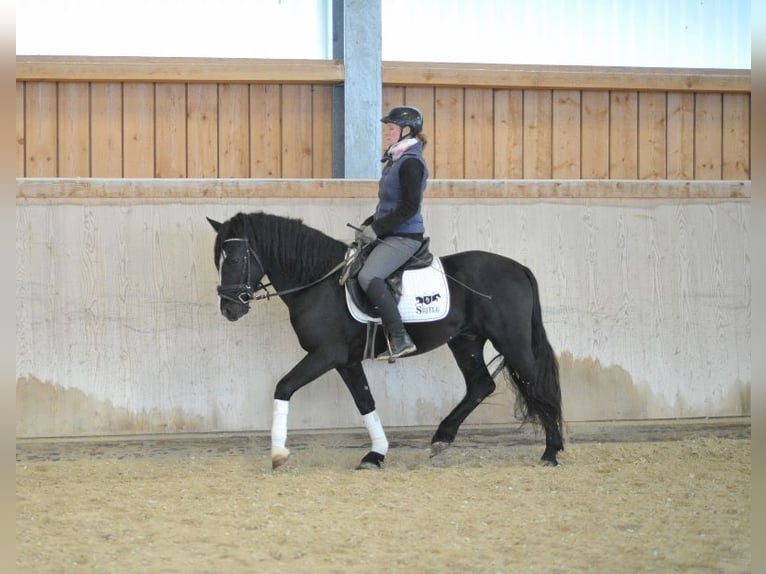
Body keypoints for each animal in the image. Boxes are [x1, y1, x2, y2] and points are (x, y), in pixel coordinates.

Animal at [208, 214, 564, 470]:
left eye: (235, 259)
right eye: (218, 261)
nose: (228, 309)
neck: (319, 283)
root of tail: (518, 267)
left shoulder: (326, 354)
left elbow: (283, 387)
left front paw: (278, 453)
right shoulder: (346, 361)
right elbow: (366, 402)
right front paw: (375, 455)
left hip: (512, 341)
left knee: (537, 385)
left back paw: (551, 452)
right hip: (466, 341)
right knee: (481, 386)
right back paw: (441, 439)